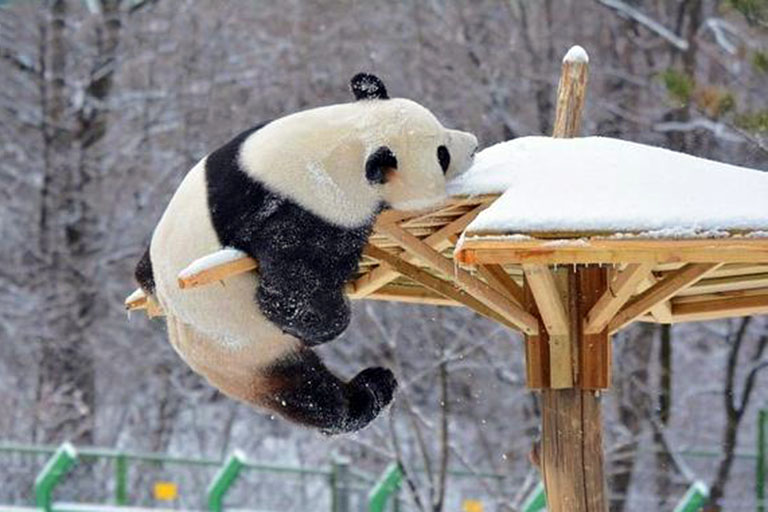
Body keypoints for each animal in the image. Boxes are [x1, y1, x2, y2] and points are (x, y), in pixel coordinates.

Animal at [135, 74, 476, 434]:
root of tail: (181, 340)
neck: (342, 140)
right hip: (244, 348)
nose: (472, 145)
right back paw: (372, 387)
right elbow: (290, 293)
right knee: (308, 394)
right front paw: (328, 323)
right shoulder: (301, 213)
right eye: (441, 156)